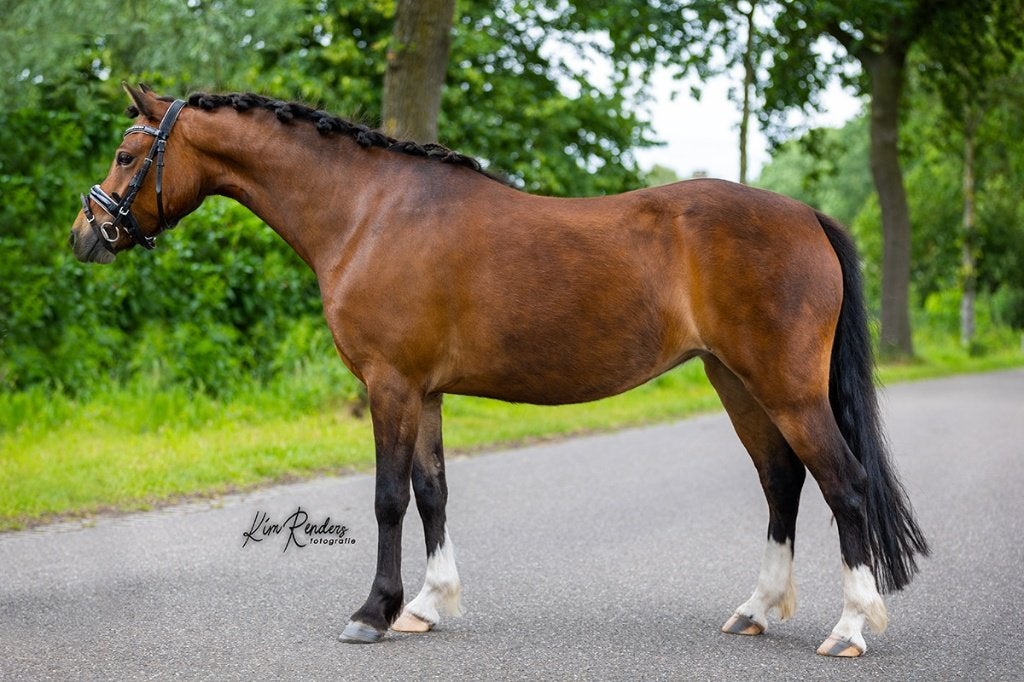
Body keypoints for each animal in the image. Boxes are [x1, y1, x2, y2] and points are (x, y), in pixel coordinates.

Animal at [69, 83, 928, 657]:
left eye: (125, 153)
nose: (86, 233)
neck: (367, 212)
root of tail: (805, 214)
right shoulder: (425, 391)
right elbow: (432, 494)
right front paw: (426, 605)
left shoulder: (390, 384)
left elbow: (388, 499)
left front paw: (373, 613)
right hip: (736, 382)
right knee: (782, 481)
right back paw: (755, 609)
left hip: (786, 389)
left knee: (845, 485)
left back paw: (850, 628)